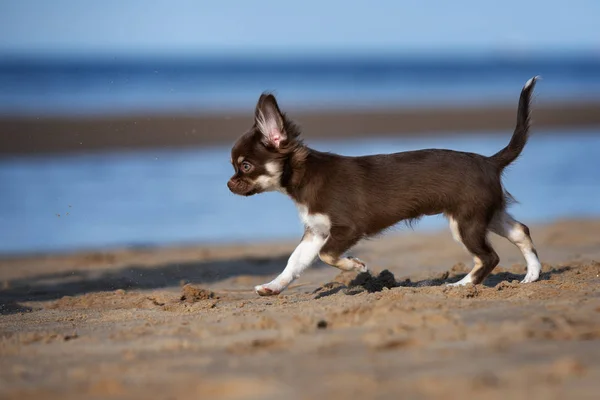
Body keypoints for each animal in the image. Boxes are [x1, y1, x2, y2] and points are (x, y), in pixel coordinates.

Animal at [227, 76, 540, 296]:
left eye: (245, 166)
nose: (229, 184)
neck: (305, 176)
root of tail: (489, 161)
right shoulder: (316, 232)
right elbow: (295, 262)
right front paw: (273, 286)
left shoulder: (347, 228)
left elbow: (327, 254)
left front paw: (355, 265)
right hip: (487, 214)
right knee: (521, 231)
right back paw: (532, 275)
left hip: (466, 222)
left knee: (489, 257)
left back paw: (462, 285)